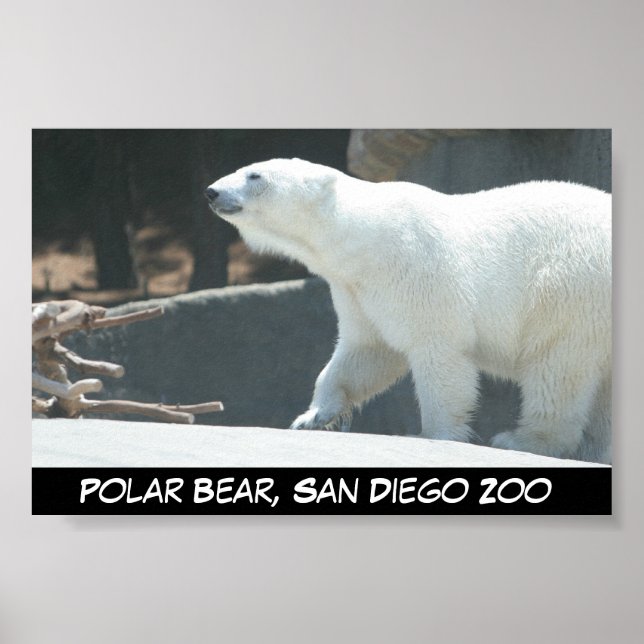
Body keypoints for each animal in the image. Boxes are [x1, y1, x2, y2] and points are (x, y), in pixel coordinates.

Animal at [205, 158, 612, 464]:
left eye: (255, 175)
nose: (212, 192)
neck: (365, 237)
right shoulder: (356, 289)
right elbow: (366, 351)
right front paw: (314, 416)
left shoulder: (418, 267)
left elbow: (439, 353)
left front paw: (436, 433)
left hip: (570, 285)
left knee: (557, 366)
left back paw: (520, 440)